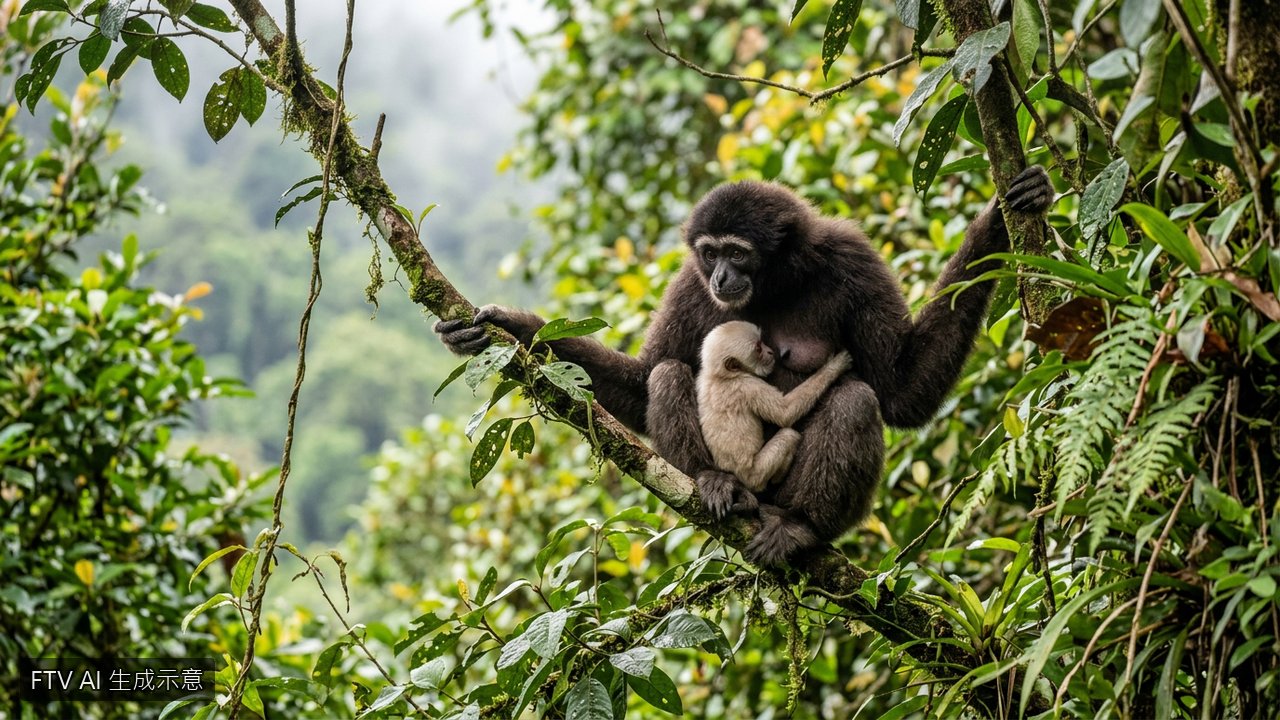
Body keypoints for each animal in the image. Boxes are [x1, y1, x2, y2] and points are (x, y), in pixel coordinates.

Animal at [696, 321, 853, 493]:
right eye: (758, 349)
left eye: (762, 342)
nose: (770, 352)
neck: (720, 377)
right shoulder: (747, 385)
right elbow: (785, 414)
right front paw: (835, 365)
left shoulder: (702, 378)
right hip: (755, 475)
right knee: (789, 435)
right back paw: (778, 478)